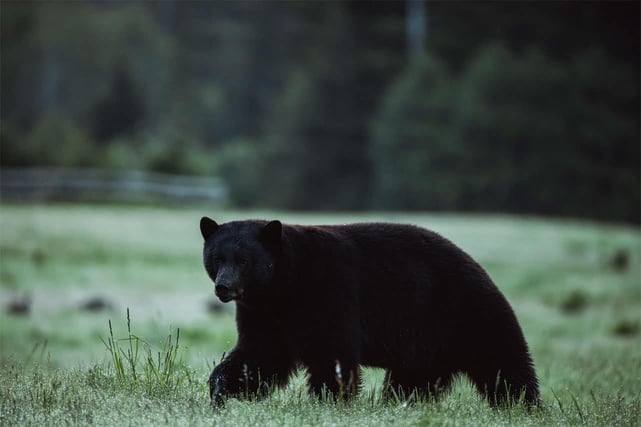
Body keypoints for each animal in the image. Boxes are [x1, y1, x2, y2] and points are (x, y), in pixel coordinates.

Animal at [200, 219, 540, 410]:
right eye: (217, 257)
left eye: (244, 260)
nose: (224, 287)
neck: (286, 285)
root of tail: (482, 270)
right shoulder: (264, 313)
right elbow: (259, 356)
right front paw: (220, 391)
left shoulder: (330, 291)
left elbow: (332, 353)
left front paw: (328, 402)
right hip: (426, 347)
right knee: (413, 381)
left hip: (467, 314)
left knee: (505, 365)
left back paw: (525, 407)